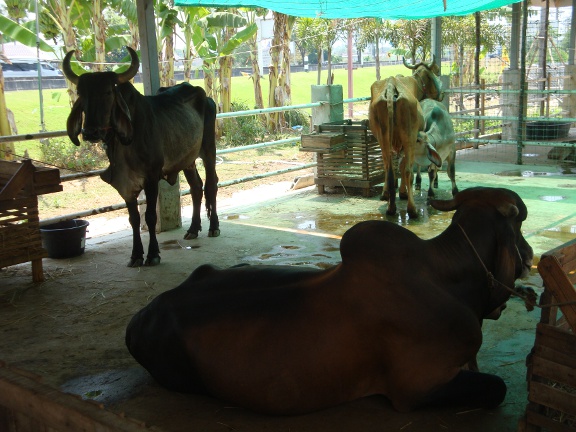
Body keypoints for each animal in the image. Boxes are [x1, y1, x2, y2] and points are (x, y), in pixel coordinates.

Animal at [63, 47, 220, 266]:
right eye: (80, 93)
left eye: (108, 92)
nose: (90, 132)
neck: (123, 145)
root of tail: (206, 97)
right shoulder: (125, 184)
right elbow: (134, 219)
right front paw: (136, 254)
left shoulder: (152, 177)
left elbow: (151, 216)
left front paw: (153, 254)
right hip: (187, 159)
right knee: (196, 187)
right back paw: (193, 229)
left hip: (208, 149)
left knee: (211, 184)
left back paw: (213, 227)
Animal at [127, 186, 536, 416]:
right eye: (519, 227)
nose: (531, 254)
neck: (446, 277)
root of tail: (141, 316)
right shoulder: (418, 388)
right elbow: (497, 388)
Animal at [372, 57, 444, 218]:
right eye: (436, 71)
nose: (441, 94)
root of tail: (391, 86)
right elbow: (404, 165)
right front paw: (403, 192)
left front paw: (387, 194)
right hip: (408, 137)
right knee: (407, 171)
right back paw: (412, 210)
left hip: (383, 138)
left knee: (388, 169)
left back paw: (390, 207)